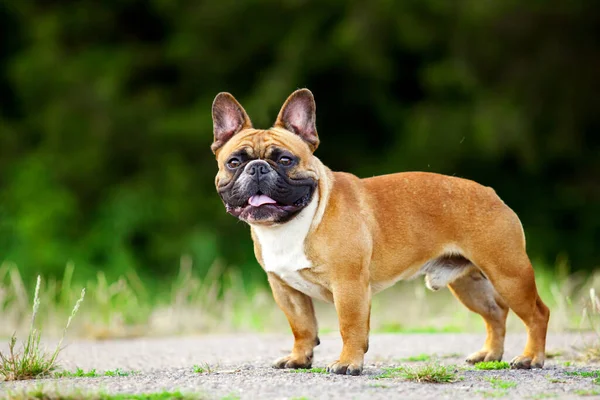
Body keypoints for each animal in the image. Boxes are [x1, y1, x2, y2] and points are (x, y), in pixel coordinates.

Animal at [210, 87, 548, 376]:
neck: (291, 224)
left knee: (536, 314)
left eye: (284, 159)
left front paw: (348, 363)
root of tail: (491, 193)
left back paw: (531, 358)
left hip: (508, 273)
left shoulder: (348, 285)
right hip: (469, 283)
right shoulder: (285, 289)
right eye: (234, 162)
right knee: (495, 313)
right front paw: (299, 358)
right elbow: (302, 327)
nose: (257, 168)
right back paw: (490, 354)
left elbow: (350, 326)